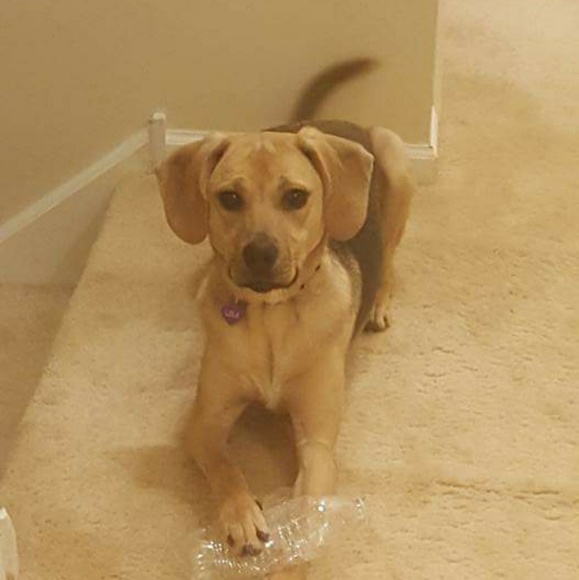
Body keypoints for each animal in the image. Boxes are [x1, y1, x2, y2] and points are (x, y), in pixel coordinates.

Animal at [156, 59, 415, 578]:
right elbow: (226, 467)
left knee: (390, 259)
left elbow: (308, 511)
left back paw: (379, 304)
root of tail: (329, 122)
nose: (260, 254)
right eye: (228, 197)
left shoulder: (316, 438)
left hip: (396, 161)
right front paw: (241, 516)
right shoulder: (204, 421)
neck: (271, 317)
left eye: (296, 197)